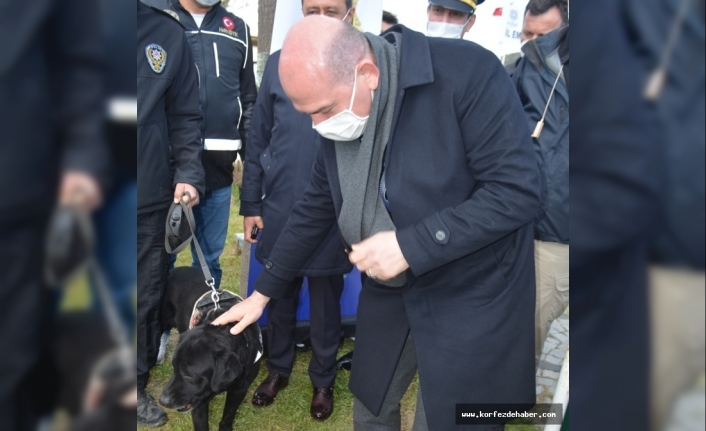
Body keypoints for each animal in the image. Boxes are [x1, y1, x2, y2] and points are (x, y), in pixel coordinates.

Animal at [157, 268, 262, 430]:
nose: (163, 401)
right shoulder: (198, 401)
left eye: (190, 374)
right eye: (174, 367)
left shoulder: (240, 389)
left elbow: (227, 417)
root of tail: (174, 269)